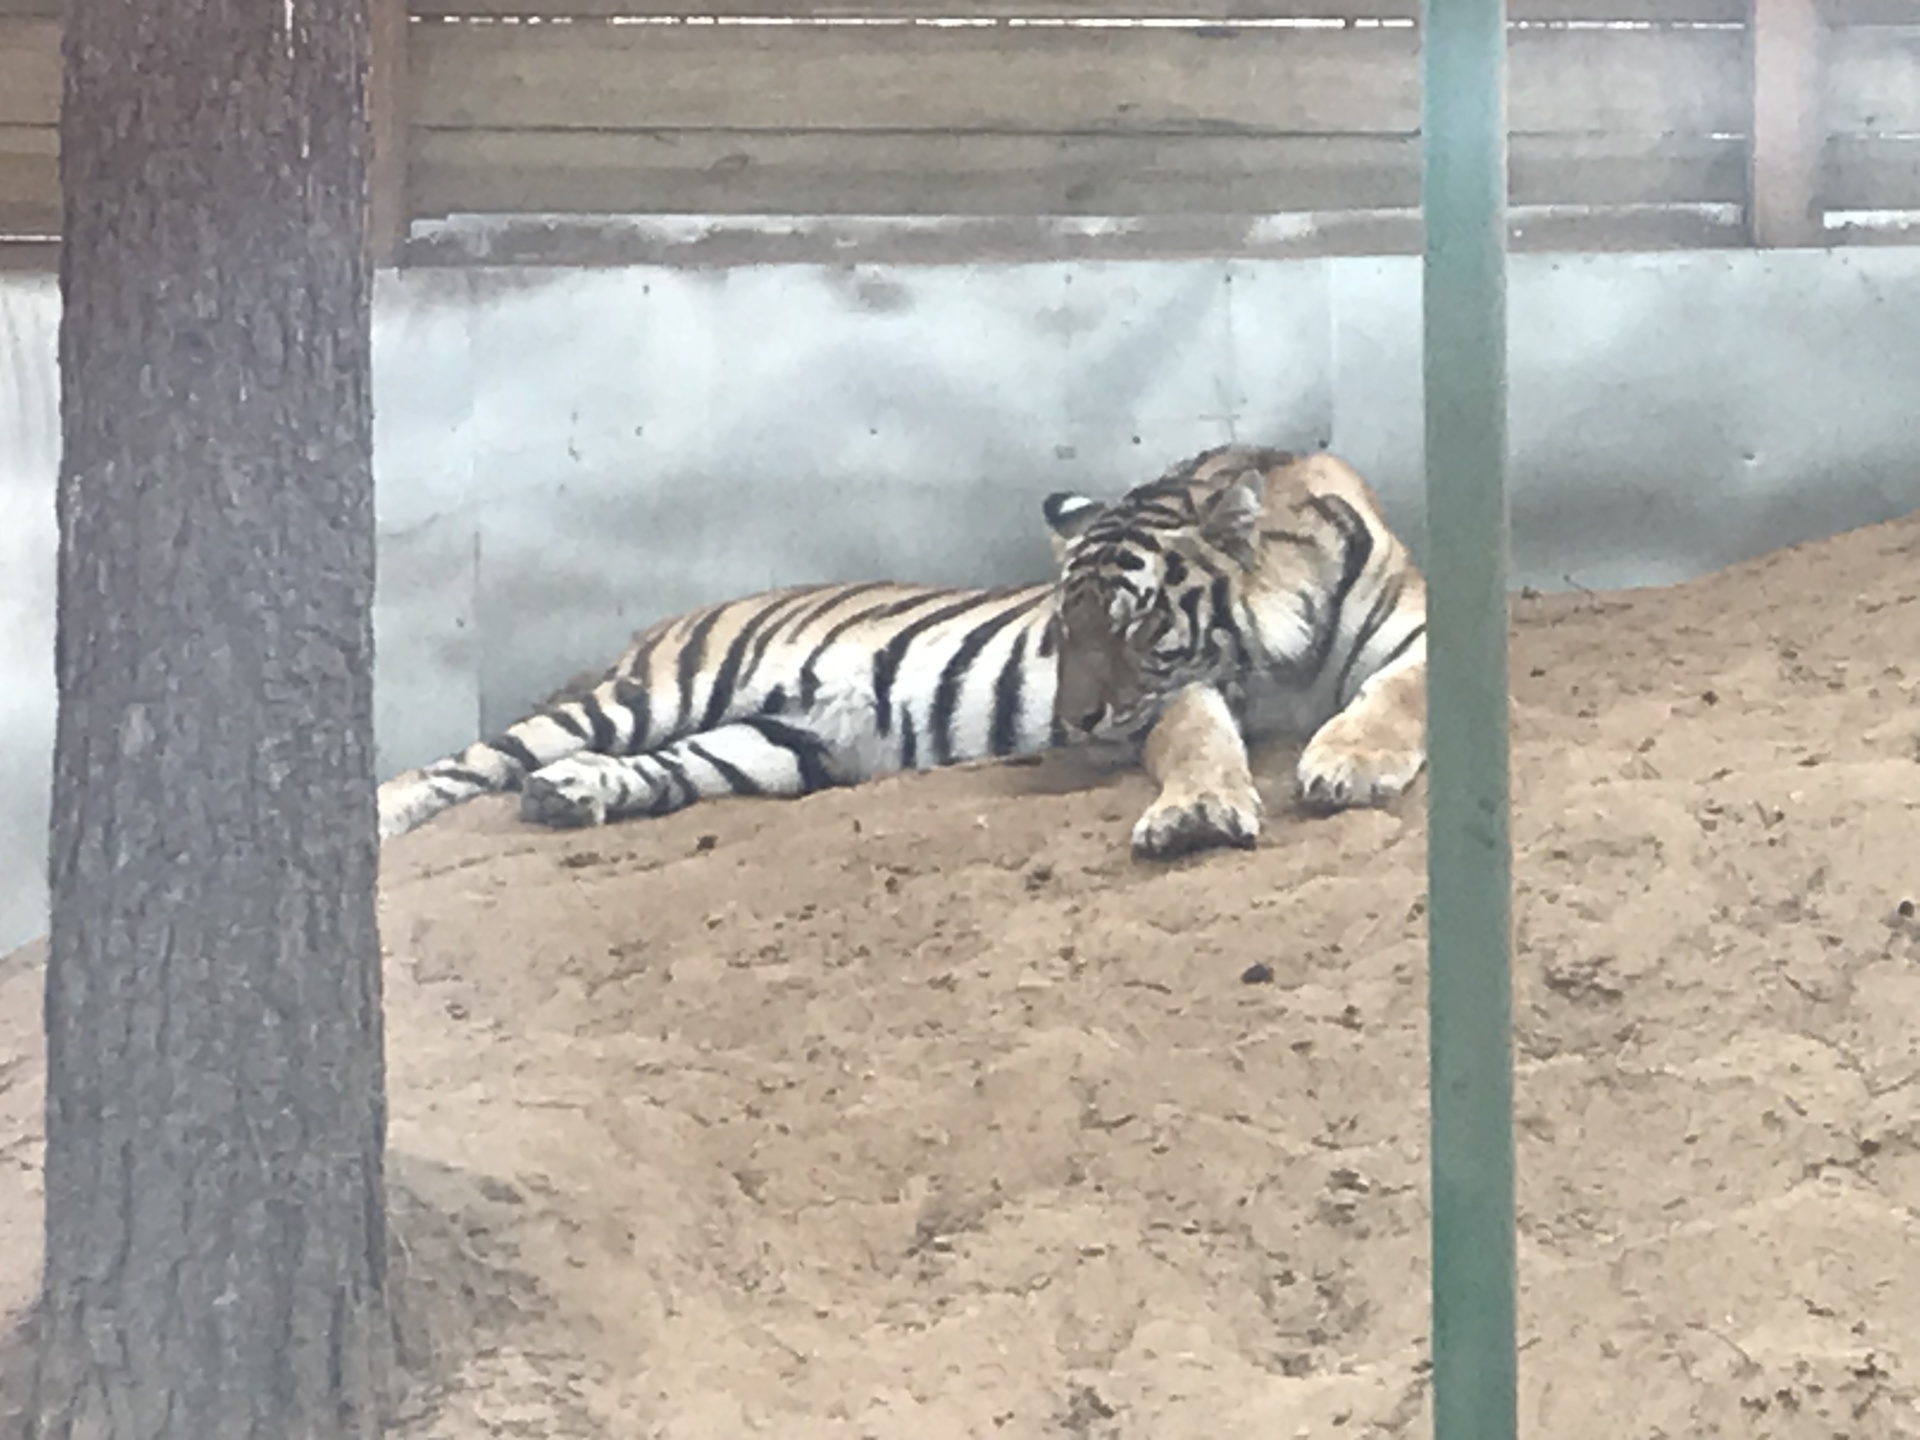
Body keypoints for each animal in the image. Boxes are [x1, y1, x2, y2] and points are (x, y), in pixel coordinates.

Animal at [378, 445, 1428, 864]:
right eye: (1065, 631)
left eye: (1133, 624)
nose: (1076, 719)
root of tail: (659, 626)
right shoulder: (1186, 695)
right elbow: (1199, 740)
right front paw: (1200, 813)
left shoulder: (1418, 637)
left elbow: (1394, 699)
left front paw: (1346, 767)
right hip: (648, 696)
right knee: (460, 765)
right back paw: (389, 815)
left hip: (774, 747)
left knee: (653, 770)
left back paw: (572, 795)